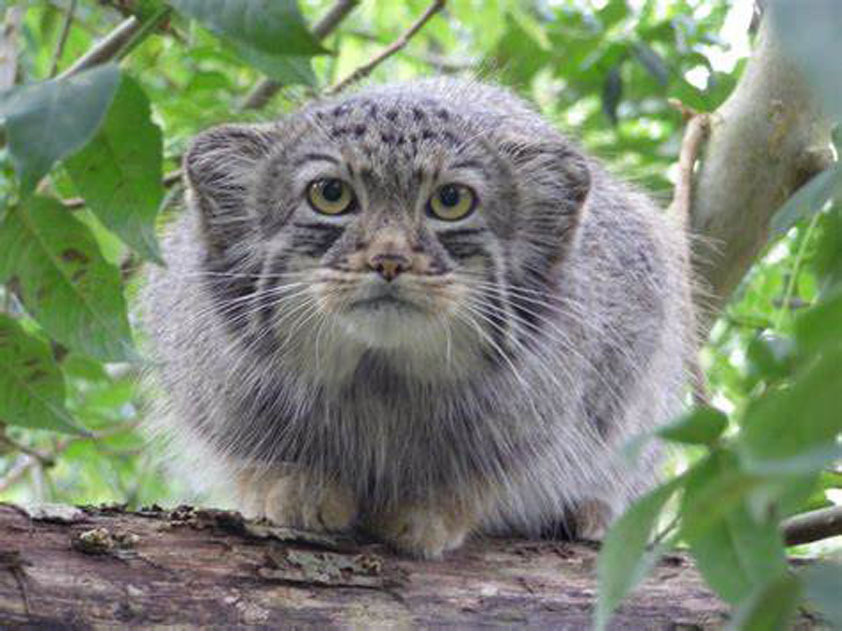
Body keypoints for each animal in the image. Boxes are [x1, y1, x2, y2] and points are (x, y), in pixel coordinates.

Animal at [141, 78, 692, 556]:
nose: (389, 260)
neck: (379, 379)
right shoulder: (207, 386)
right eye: (330, 194)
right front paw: (295, 483)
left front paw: (434, 508)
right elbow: (251, 455)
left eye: (451, 201)